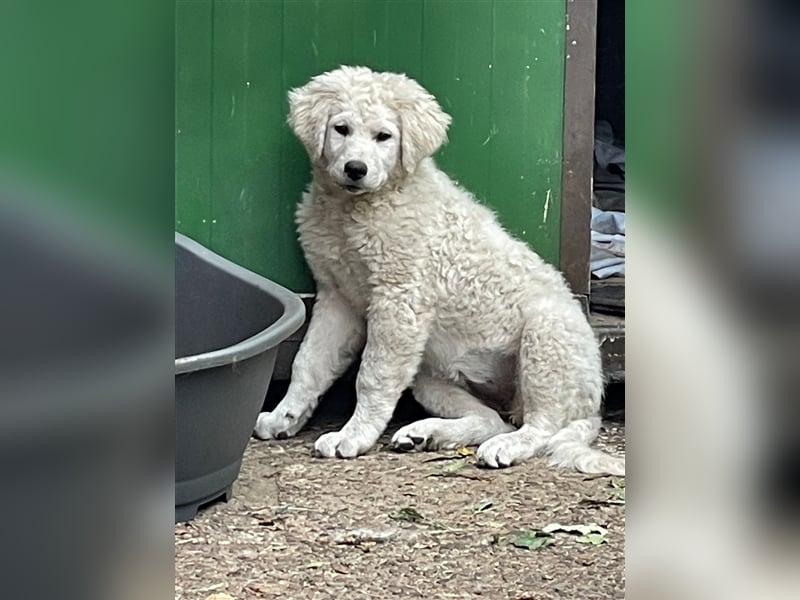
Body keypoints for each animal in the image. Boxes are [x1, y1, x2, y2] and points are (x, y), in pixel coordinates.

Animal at [256, 65, 624, 476]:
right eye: (341, 129)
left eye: (384, 136)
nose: (355, 169)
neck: (355, 210)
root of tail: (592, 404)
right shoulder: (338, 298)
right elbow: (308, 362)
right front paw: (284, 416)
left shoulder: (399, 301)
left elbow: (372, 376)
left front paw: (353, 435)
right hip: (430, 376)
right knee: (492, 419)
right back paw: (427, 434)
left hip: (546, 338)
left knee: (542, 426)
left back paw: (506, 446)